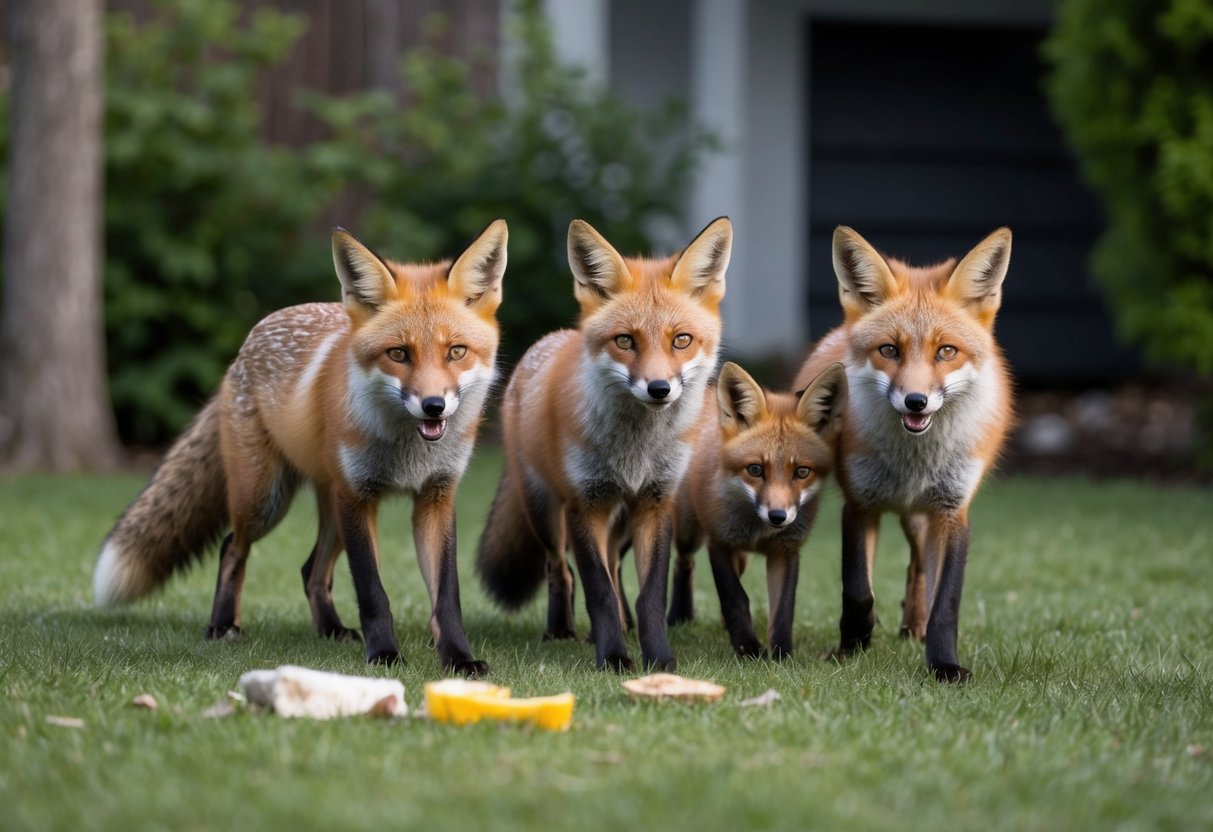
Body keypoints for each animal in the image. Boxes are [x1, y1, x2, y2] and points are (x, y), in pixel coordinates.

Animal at [92, 221, 509, 674]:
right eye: (399, 354)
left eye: (456, 351)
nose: (434, 406)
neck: (408, 454)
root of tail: (244, 348)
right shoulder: (358, 498)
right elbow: (372, 592)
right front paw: (383, 654)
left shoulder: (436, 497)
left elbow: (447, 598)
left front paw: (458, 658)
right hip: (265, 499)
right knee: (231, 547)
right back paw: (223, 625)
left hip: (331, 510)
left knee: (311, 570)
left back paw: (330, 629)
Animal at [476, 217, 731, 671]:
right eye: (625, 341)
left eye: (681, 340)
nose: (659, 388)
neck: (636, 451)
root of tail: (549, 340)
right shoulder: (584, 505)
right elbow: (596, 589)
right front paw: (613, 657)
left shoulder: (655, 503)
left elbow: (649, 595)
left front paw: (658, 658)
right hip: (544, 511)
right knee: (559, 569)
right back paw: (561, 631)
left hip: (622, 522)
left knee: (613, 566)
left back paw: (620, 626)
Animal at [668, 361, 848, 660]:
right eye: (755, 469)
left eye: (802, 472)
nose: (778, 516)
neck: (757, 531)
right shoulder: (719, 542)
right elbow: (735, 598)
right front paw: (748, 648)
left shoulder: (786, 549)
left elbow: (783, 608)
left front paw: (782, 654)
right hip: (687, 532)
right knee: (684, 562)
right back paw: (678, 617)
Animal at [794, 225, 1014, 682]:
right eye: (889, 350)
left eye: (946, 351)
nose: (916, 402)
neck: (914, 463)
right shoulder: (861, 505)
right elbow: (859, 591)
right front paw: (852, 644)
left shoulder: (953, 511)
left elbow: (946, 603)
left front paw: (944, 665)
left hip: (922, 518)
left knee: (919, 569)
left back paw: (915, 625)